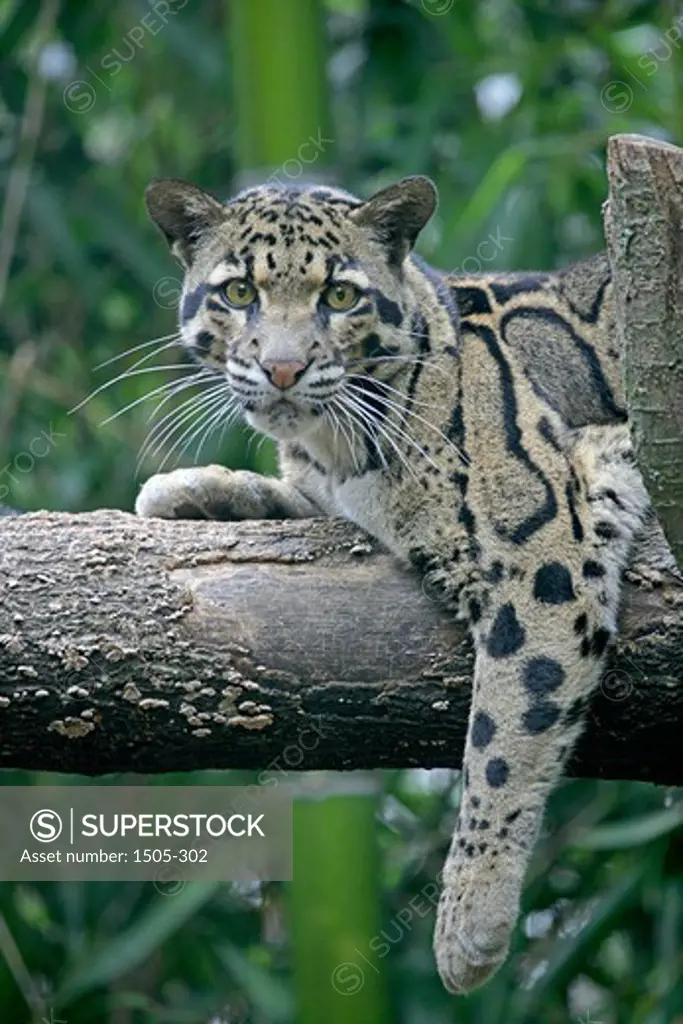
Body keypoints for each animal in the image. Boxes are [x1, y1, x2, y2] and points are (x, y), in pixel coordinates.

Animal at [136, 176, 651, 991]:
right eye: (240, 292)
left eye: (340, 295)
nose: (282, 368)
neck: (339, 443)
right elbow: (293, 497)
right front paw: (196, 489)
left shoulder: (544, 554)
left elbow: (504, 729)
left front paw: (469, 915)